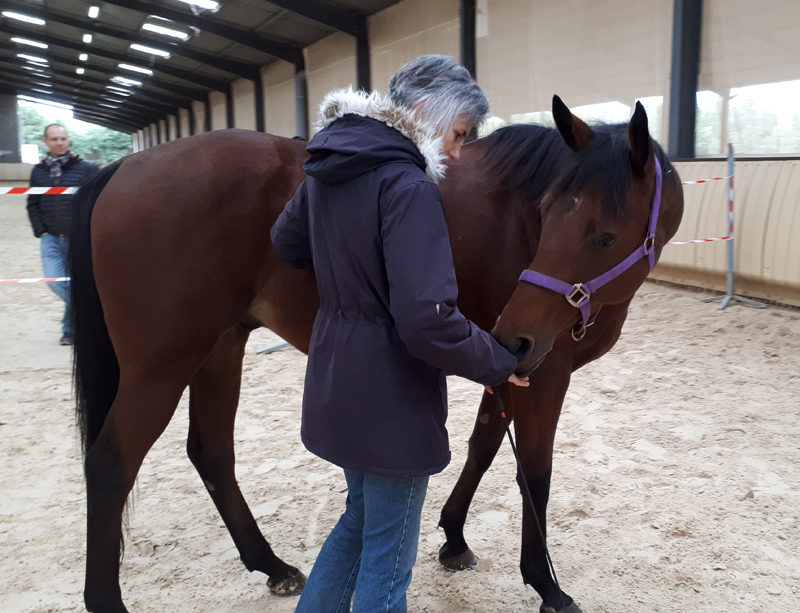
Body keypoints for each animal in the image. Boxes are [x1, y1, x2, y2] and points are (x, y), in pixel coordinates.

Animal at [69, 97, 680, 612]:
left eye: (603, 235)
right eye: (550, 216)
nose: (515, 334)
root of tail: (123, 167)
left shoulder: (508, 367)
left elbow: (483, 446)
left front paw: (454, 538)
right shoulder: (543, 373)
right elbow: (535, 472)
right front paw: (546, 585)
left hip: (220, 348)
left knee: (211, 451)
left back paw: (270, 565)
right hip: (160, 366)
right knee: (110, 465)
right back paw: (108, 599)